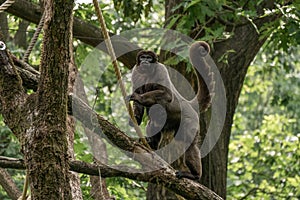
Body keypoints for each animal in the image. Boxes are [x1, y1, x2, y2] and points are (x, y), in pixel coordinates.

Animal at [129, 41, 213, 180]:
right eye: (142, 57)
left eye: (149, 58)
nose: (145, 61)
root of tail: (188, 104)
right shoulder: (136, 73)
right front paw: (135, 118)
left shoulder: (160, 69)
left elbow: (167, 94)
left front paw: (139, 98)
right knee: (153, 124)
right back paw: (152, 144)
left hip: (190, 120)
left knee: (189, 142)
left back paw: (195, 175)